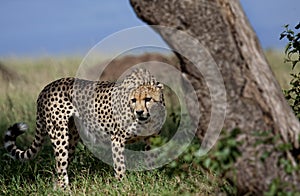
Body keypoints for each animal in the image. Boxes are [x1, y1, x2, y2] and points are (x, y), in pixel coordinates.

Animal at [3, 68, 165, 188]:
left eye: (148, 99)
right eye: (133, 100)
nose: (139, 112)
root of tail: (46, 88)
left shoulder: (152, 138)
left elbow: (152, 159)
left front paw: (152, 179)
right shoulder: (117, 139)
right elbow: (120, 166)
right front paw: (122, 185)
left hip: (72, 138)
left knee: (60, 170)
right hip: (59, 135)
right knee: (60, 167)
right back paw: (66, 190)